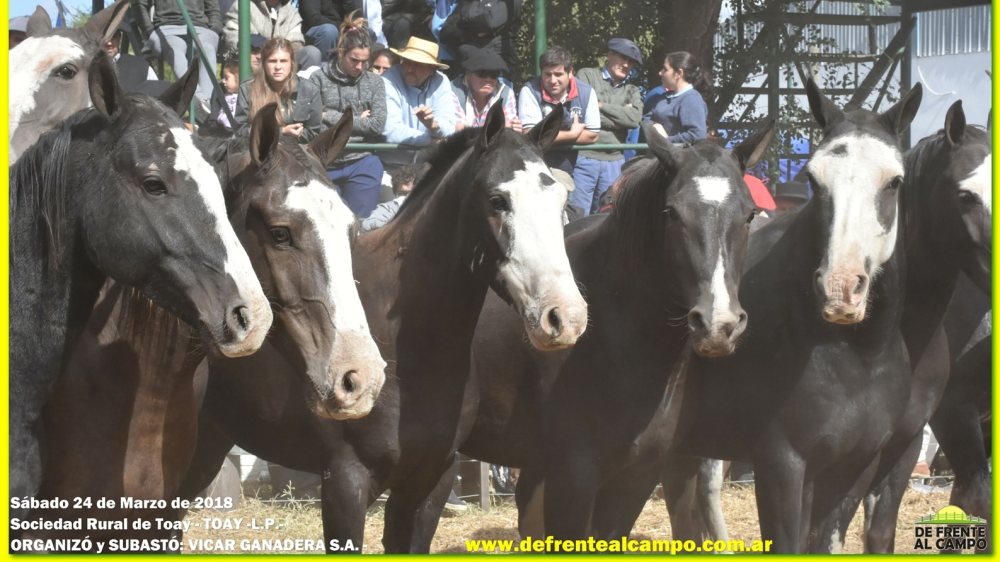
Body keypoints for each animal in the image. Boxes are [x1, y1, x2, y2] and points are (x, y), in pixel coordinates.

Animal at [179, 103, 584, 548]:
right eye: (498, 200)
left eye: (560, 201)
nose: (564, 317)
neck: (411, 354)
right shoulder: (346, 485)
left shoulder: (430, 482)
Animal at [656, 79, 920, 552]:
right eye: (814, 180)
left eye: (894, 182)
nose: (840, 289)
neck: (856, 356)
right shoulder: (782, 467)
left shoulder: (853, 469)